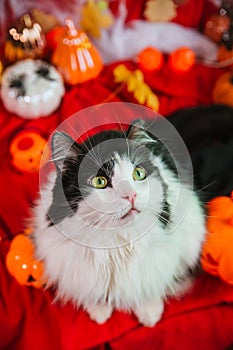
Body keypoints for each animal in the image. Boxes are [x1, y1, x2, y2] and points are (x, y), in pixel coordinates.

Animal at [31, 119, 206, 326]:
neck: (118, 242)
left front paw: (150, 314)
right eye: (100, 181)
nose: (131, 195)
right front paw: (99, 312)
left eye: (138, 174)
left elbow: (149, 283)